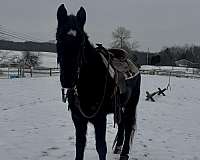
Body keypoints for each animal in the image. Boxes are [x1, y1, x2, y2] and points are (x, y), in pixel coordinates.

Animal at [56, 4, 141, 160]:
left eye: (81, 42)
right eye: (58, 38)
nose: (68, 80)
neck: (90, 80)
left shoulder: (99, 119)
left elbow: (101, 147)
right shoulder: (78, 119)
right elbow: (80, 145)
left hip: (131, 105)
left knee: (129, 125)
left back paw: (124, 153)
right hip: (120, 106)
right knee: (122, 124)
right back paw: (118, 148)